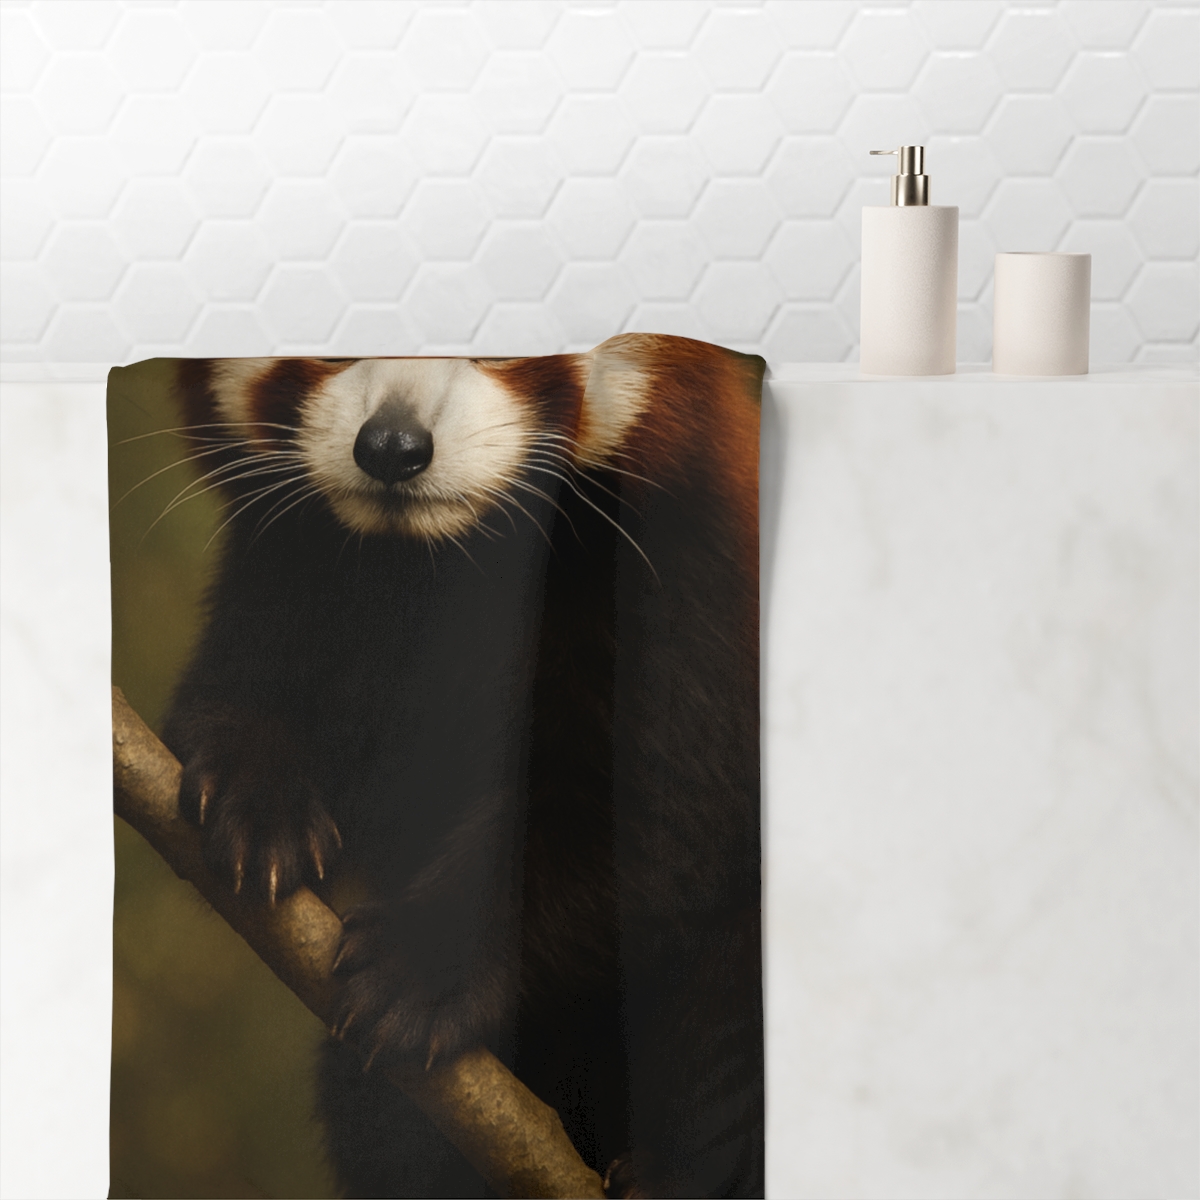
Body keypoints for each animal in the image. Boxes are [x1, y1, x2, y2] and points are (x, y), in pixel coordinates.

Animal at [162, 333, 764, 1198]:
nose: (392, 447)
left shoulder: (683, 600)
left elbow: (647, 817)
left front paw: (421, 971)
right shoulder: (302, 577)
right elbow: (234, 696)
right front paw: (252, 798)